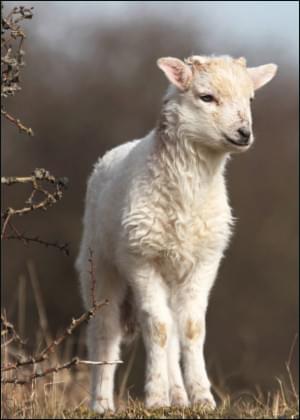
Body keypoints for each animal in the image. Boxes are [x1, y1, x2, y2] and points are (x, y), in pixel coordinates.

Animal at [75, 53, 276, 414]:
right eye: (206, 97)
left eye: (251, 99)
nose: (244, 133)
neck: (187, 198)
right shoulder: (141, 258)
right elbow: (157, 328)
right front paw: (155, 398)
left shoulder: (206, 260)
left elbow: (192, 328)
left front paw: (202, 398)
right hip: (99, 266)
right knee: (105, 331)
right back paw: (102, 402)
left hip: (170, 271)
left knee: (169, 326)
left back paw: (178, 396)